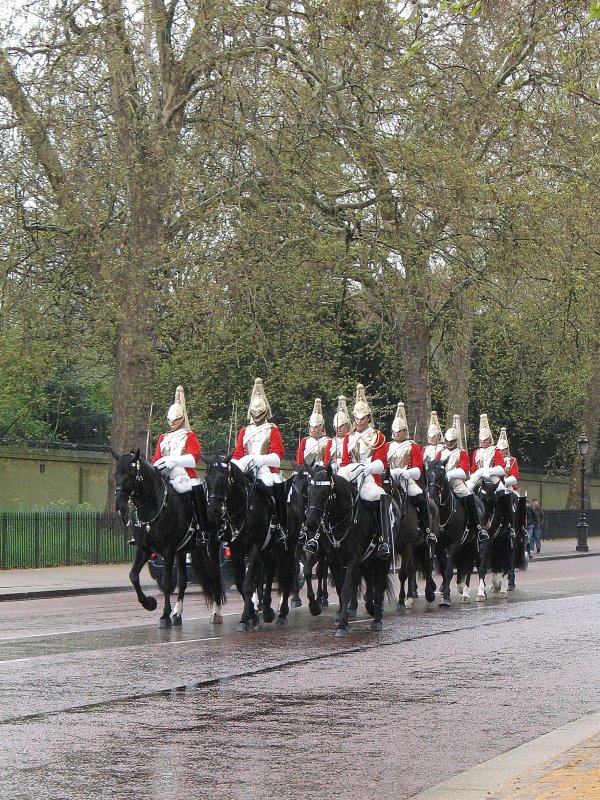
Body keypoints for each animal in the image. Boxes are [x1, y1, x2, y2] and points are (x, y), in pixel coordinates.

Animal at [112, 450, 225, 624]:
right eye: (116, 474)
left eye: (130, 474)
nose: (120, 507)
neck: (153, 507)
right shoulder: (144, 549)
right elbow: (133, 576)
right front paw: (149, 603)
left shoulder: (168, 549)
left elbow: (166, 581)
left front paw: (164, 615)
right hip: (184, 550)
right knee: (183, 579)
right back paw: (177, 613)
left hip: (211, 544)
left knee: (215, 575)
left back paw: (216, 612)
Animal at [203, 456, 294, 632]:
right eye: (206, 478)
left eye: (223, 478)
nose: (212, 512)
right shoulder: (235, 549)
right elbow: (241, 583)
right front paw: (250, 617)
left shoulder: (254, 547)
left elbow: (247, 584)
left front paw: (246, 619)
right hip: (268, 550)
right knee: (270, 572)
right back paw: (267, 611)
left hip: (287, 547)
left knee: (287, 573)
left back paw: (283, 614)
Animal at [302, 462, 392, 636]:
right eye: (309, 492)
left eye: (324, 493)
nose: (310, 524)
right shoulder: (332, 559)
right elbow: (334, 585)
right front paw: (315, 607)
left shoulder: (353, 559)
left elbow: (345, 590)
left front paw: (342, 625)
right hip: (366, 562)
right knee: (369, 582)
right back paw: (370, 608)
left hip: (382, 561)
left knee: (379, 586)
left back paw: (377, 619)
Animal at [424, 460, 480, 608]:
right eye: (427, 474)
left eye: (442, 474)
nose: (432, 497)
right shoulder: (439, 546)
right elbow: (444, 568)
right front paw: (445, 591)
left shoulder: (454, 544)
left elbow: (449, 570)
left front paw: (446, 598)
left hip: (473, 543)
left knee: (470, 566)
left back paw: (467, 593)